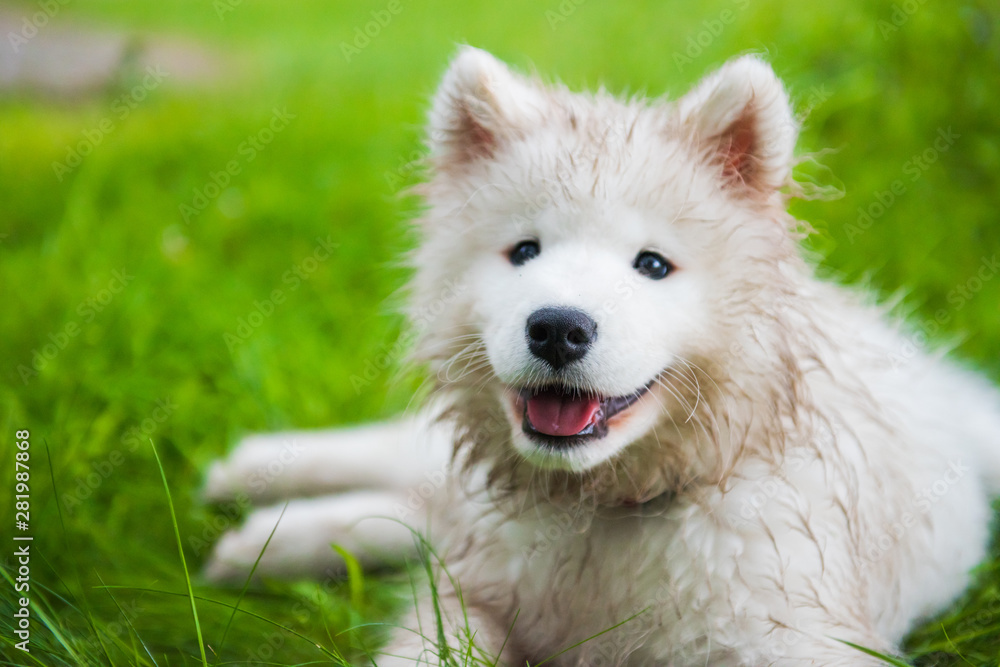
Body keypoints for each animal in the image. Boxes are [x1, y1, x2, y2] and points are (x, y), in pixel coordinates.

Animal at [205, 48, 1000, 667]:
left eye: (652, 265)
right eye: (525, 251)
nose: (557, 328)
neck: (603, 508)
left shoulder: (795, 635)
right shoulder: (469, 594)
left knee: (415, 510)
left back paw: (260, 539)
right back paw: (251, 484)